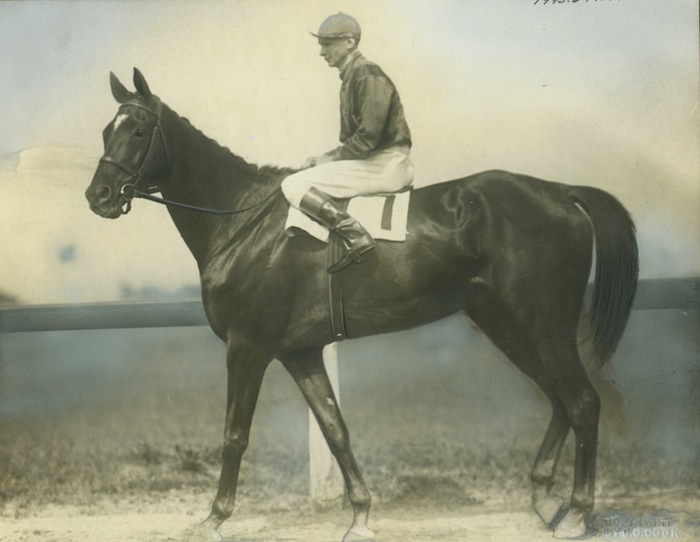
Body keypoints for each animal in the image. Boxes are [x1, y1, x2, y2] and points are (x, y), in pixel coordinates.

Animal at [85, 69, 636, 542]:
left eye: (138, 131)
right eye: (107, 130)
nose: (98, 195)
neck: (241, 221)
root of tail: (562, 192)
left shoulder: (248, 347)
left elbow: (234, 434)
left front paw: (213, 519)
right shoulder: (300, 352)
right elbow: (336, 429)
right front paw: (362, 516)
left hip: (542, 324)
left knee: (582, 401)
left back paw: (577, 512)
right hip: (506, 325)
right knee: (559, 399)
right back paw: (545, 498)